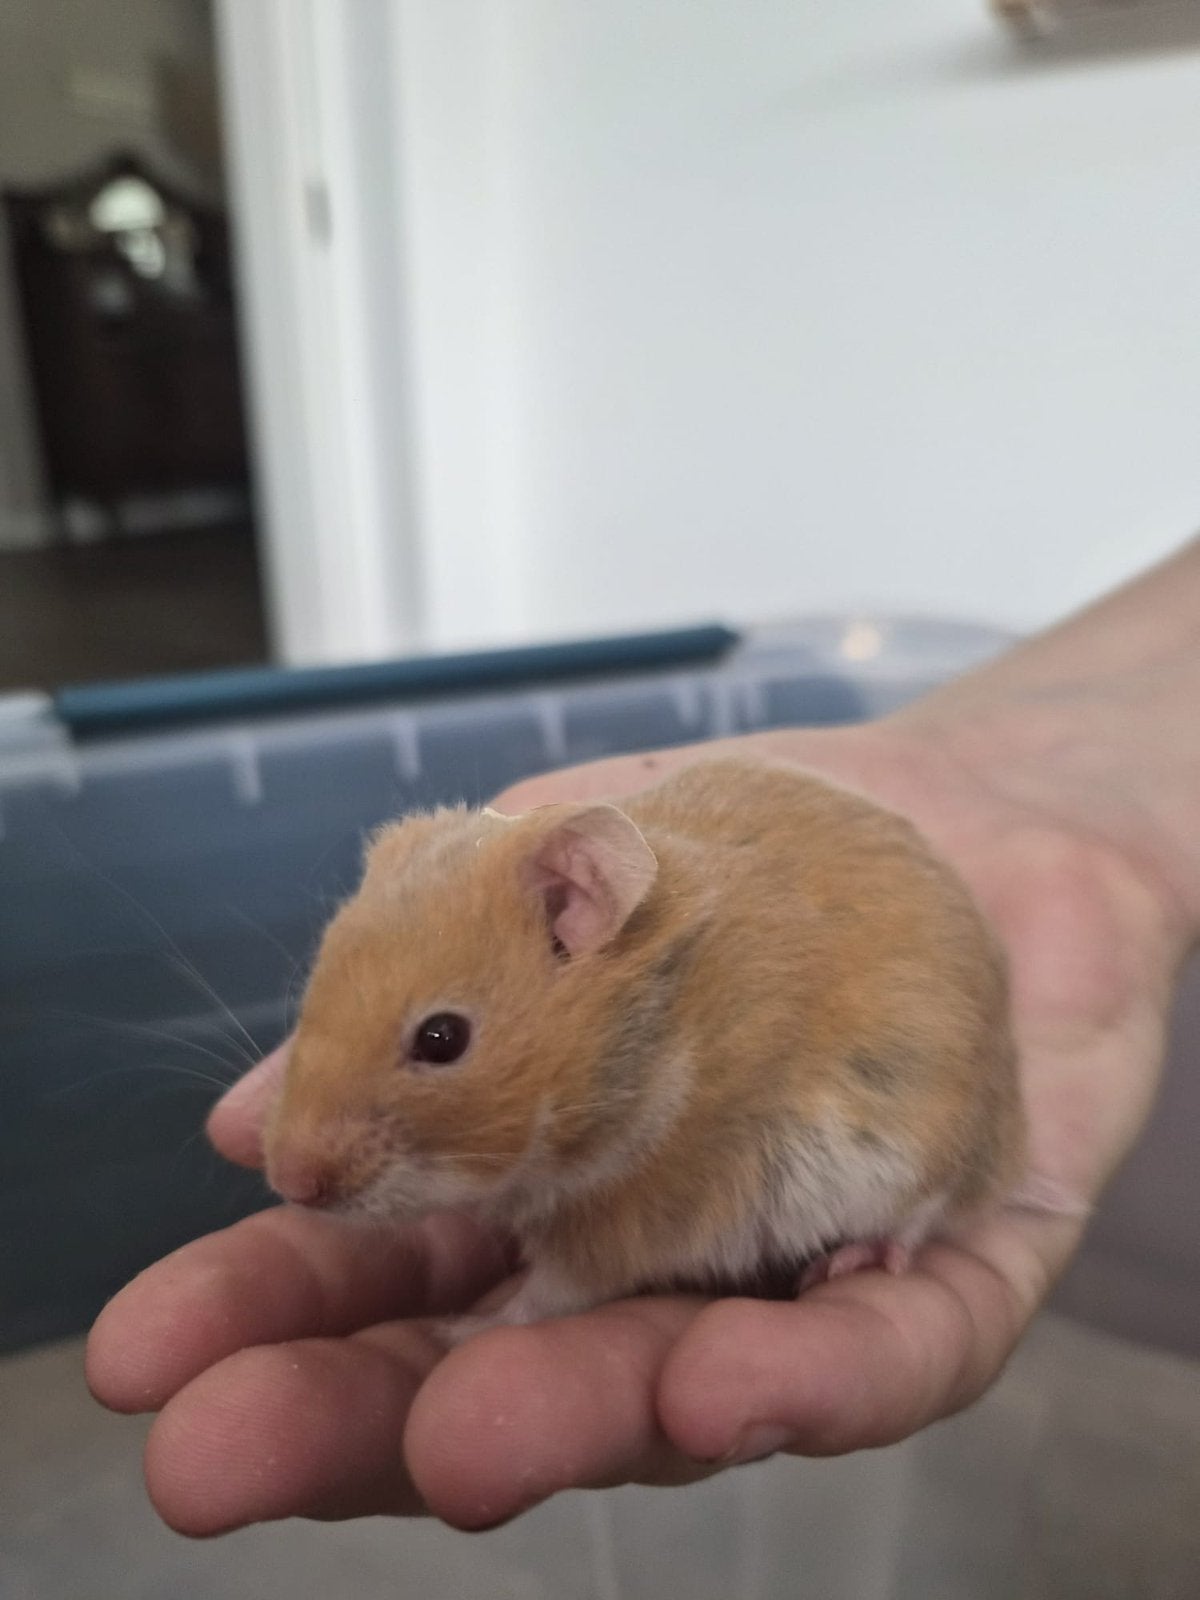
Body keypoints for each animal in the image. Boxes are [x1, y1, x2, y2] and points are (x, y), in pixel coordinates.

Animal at [263, 758, 1025, 1335]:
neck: (656, 1051)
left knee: (928, 1214)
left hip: (926, 1136)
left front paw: (454, 1331)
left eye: (441, 1038)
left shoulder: (625, 1226)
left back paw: (850, 1260)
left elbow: (544, 1297)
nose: (289, 1185)